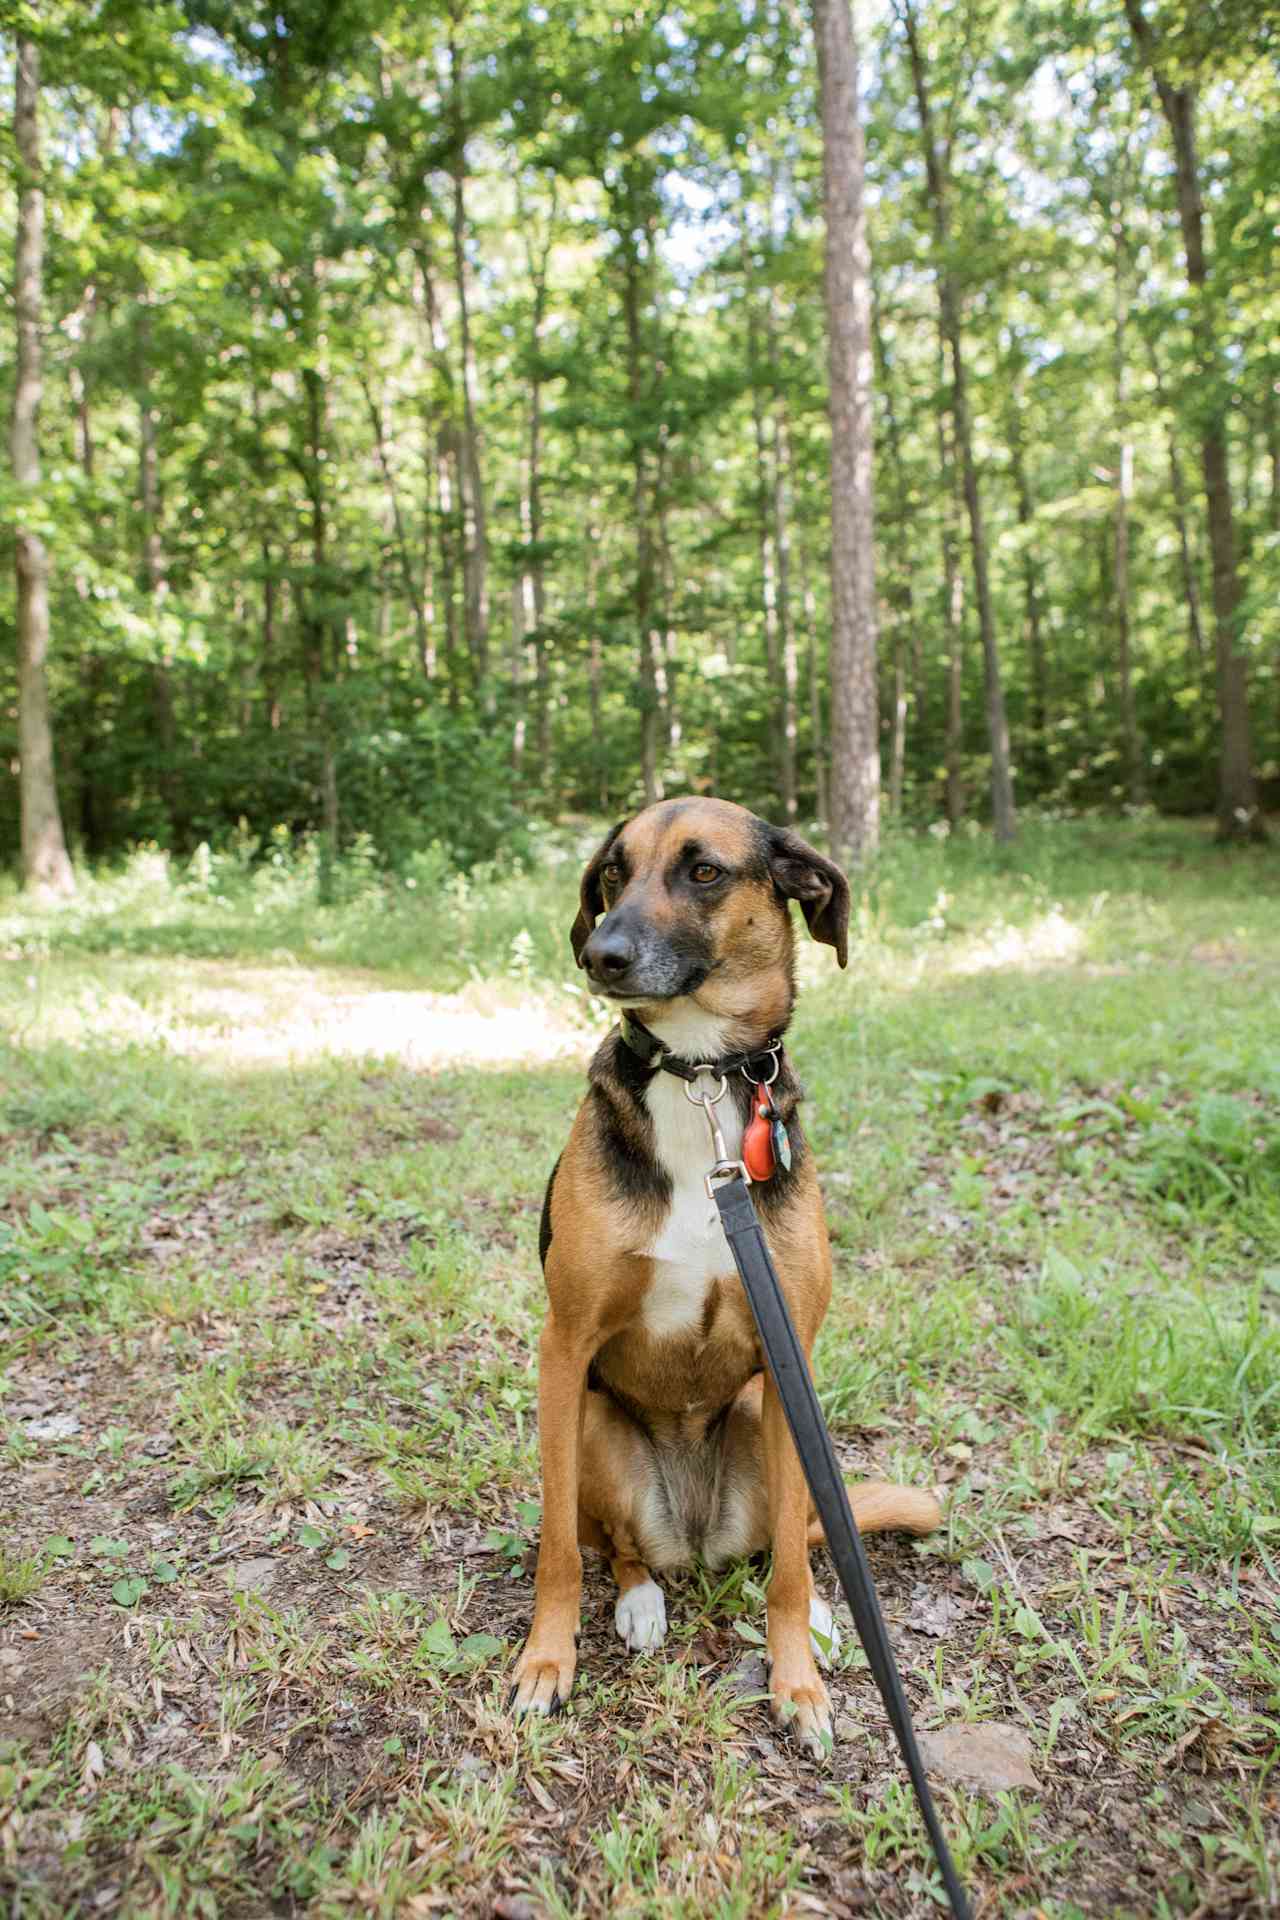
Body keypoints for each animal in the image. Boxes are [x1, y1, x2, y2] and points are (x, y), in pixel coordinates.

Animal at [510, 798, 940, 1758]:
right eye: (612, 875)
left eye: (703, 871)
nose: (601, 956)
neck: (701, 1080)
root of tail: (697, 1540)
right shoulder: (564, 1347)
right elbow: (558, 1550)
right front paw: (547, 1662)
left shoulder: (793, 1355)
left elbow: (786, 1569)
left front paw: (798, 1684)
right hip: (593, 1421)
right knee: (620, 1547)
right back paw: (639, 1600)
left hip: (774, 1418)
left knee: (792, 1543)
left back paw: (815, 1614)